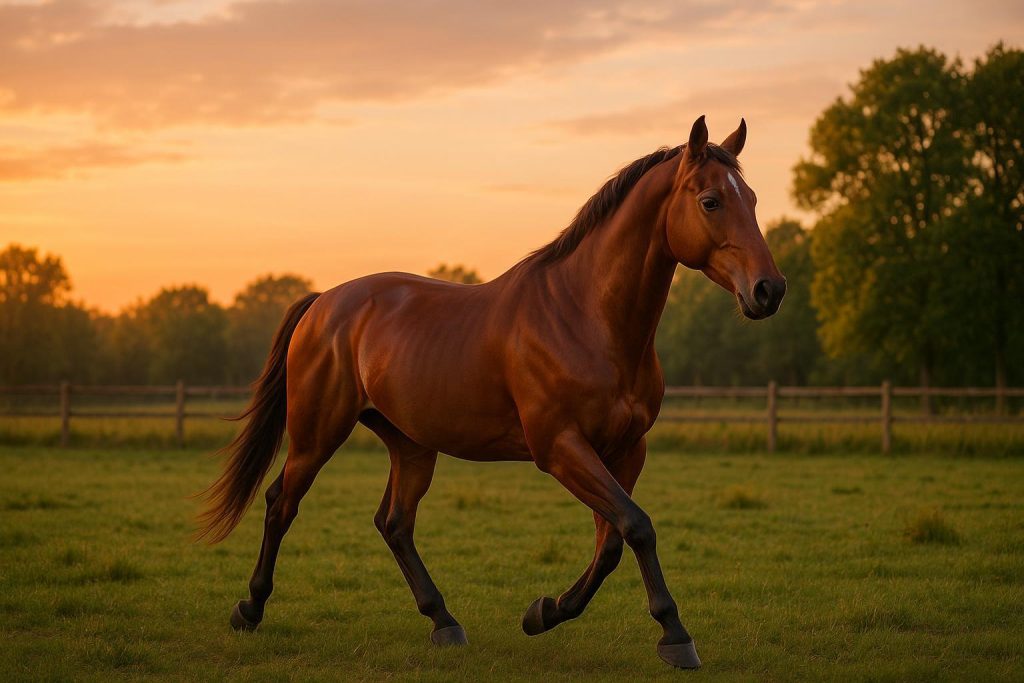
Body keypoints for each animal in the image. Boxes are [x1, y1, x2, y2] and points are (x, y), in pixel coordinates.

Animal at [198, 115, 786, 670]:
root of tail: (323, 302)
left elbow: (613, 539)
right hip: (317, 435)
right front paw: (675, 636)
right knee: (282, 503)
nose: (769, 290)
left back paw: (444, 622)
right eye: (711, 201)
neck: (586, 316)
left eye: (753, 200)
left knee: (394, 523)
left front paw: (544, 612)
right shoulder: (560, 448)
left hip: (412, 444)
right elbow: (637, 527)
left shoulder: (626, 449)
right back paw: (249, 609)